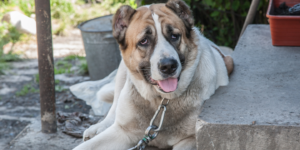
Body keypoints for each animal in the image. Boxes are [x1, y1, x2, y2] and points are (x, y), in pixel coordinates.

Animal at [74, 0, 233, 149]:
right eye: (144, 41)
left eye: (174, 36)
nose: (168, 66)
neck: (160, 101)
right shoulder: (122, 132)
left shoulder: (192, 139)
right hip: (121, 72)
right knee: (113, 109)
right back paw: (98, 127)